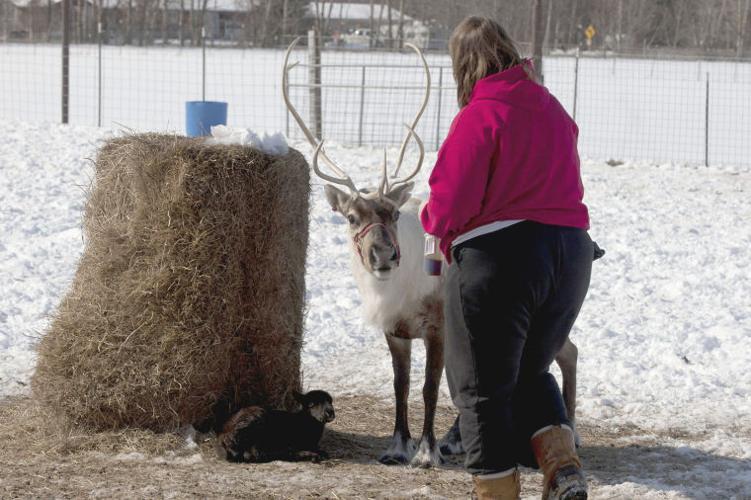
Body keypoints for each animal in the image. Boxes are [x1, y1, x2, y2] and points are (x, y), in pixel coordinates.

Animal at [282, 38, 581, 468]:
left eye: (392, 213)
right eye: (352, 217)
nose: (383, 256)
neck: (399, 292)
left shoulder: (438, 328)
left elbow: (429, 387)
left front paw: (426, 451)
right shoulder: (396, 331)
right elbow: (401, 385)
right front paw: (397, 446)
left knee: (567, 352)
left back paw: (571, 429)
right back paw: (459, 438)